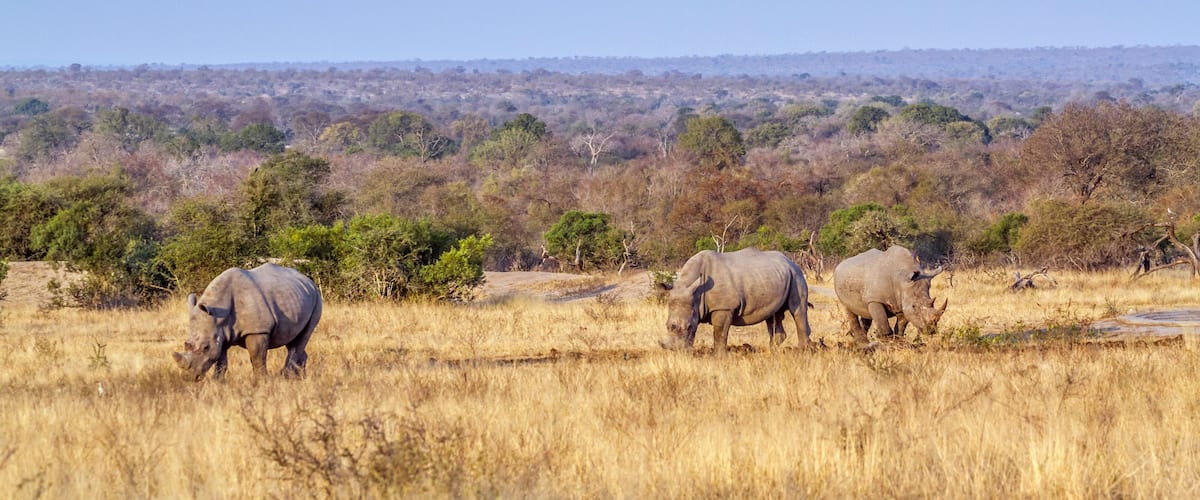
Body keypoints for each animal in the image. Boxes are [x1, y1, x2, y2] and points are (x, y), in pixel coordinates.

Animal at [172, 263, 322, 381]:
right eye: (186, 344)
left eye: (205, 347)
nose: (188, 378)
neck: (218, 313)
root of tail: (308, 280)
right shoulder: (221, 332)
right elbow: (221, 361)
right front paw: (217, 382)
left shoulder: (258, 330)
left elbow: (257, 357)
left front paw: (261, 382)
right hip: (298, 297)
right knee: (293, 339)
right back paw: (300, 377)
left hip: (317, 298)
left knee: (303, 337)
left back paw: (286, 377)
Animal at [659, 248, 812, 353]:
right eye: (667, 326)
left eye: (689, 326)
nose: (676, 351)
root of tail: (790, 261)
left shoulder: (724, 307)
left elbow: (720, 333)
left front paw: (718, 357)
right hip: (778, 277)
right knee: (773, 316)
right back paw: (772, 352)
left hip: (796, 274)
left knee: (798, 310)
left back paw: (802, 352)